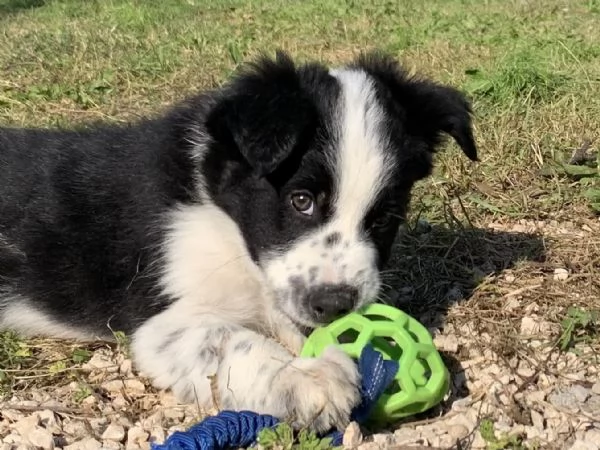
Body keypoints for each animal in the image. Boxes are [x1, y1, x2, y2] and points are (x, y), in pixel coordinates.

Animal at [0, 51, 478, 432]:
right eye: (301, 200)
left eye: (384, 218)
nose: (335, 305)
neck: (221, 217)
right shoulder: (161, 322)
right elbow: (229, 339)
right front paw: (304, 376)